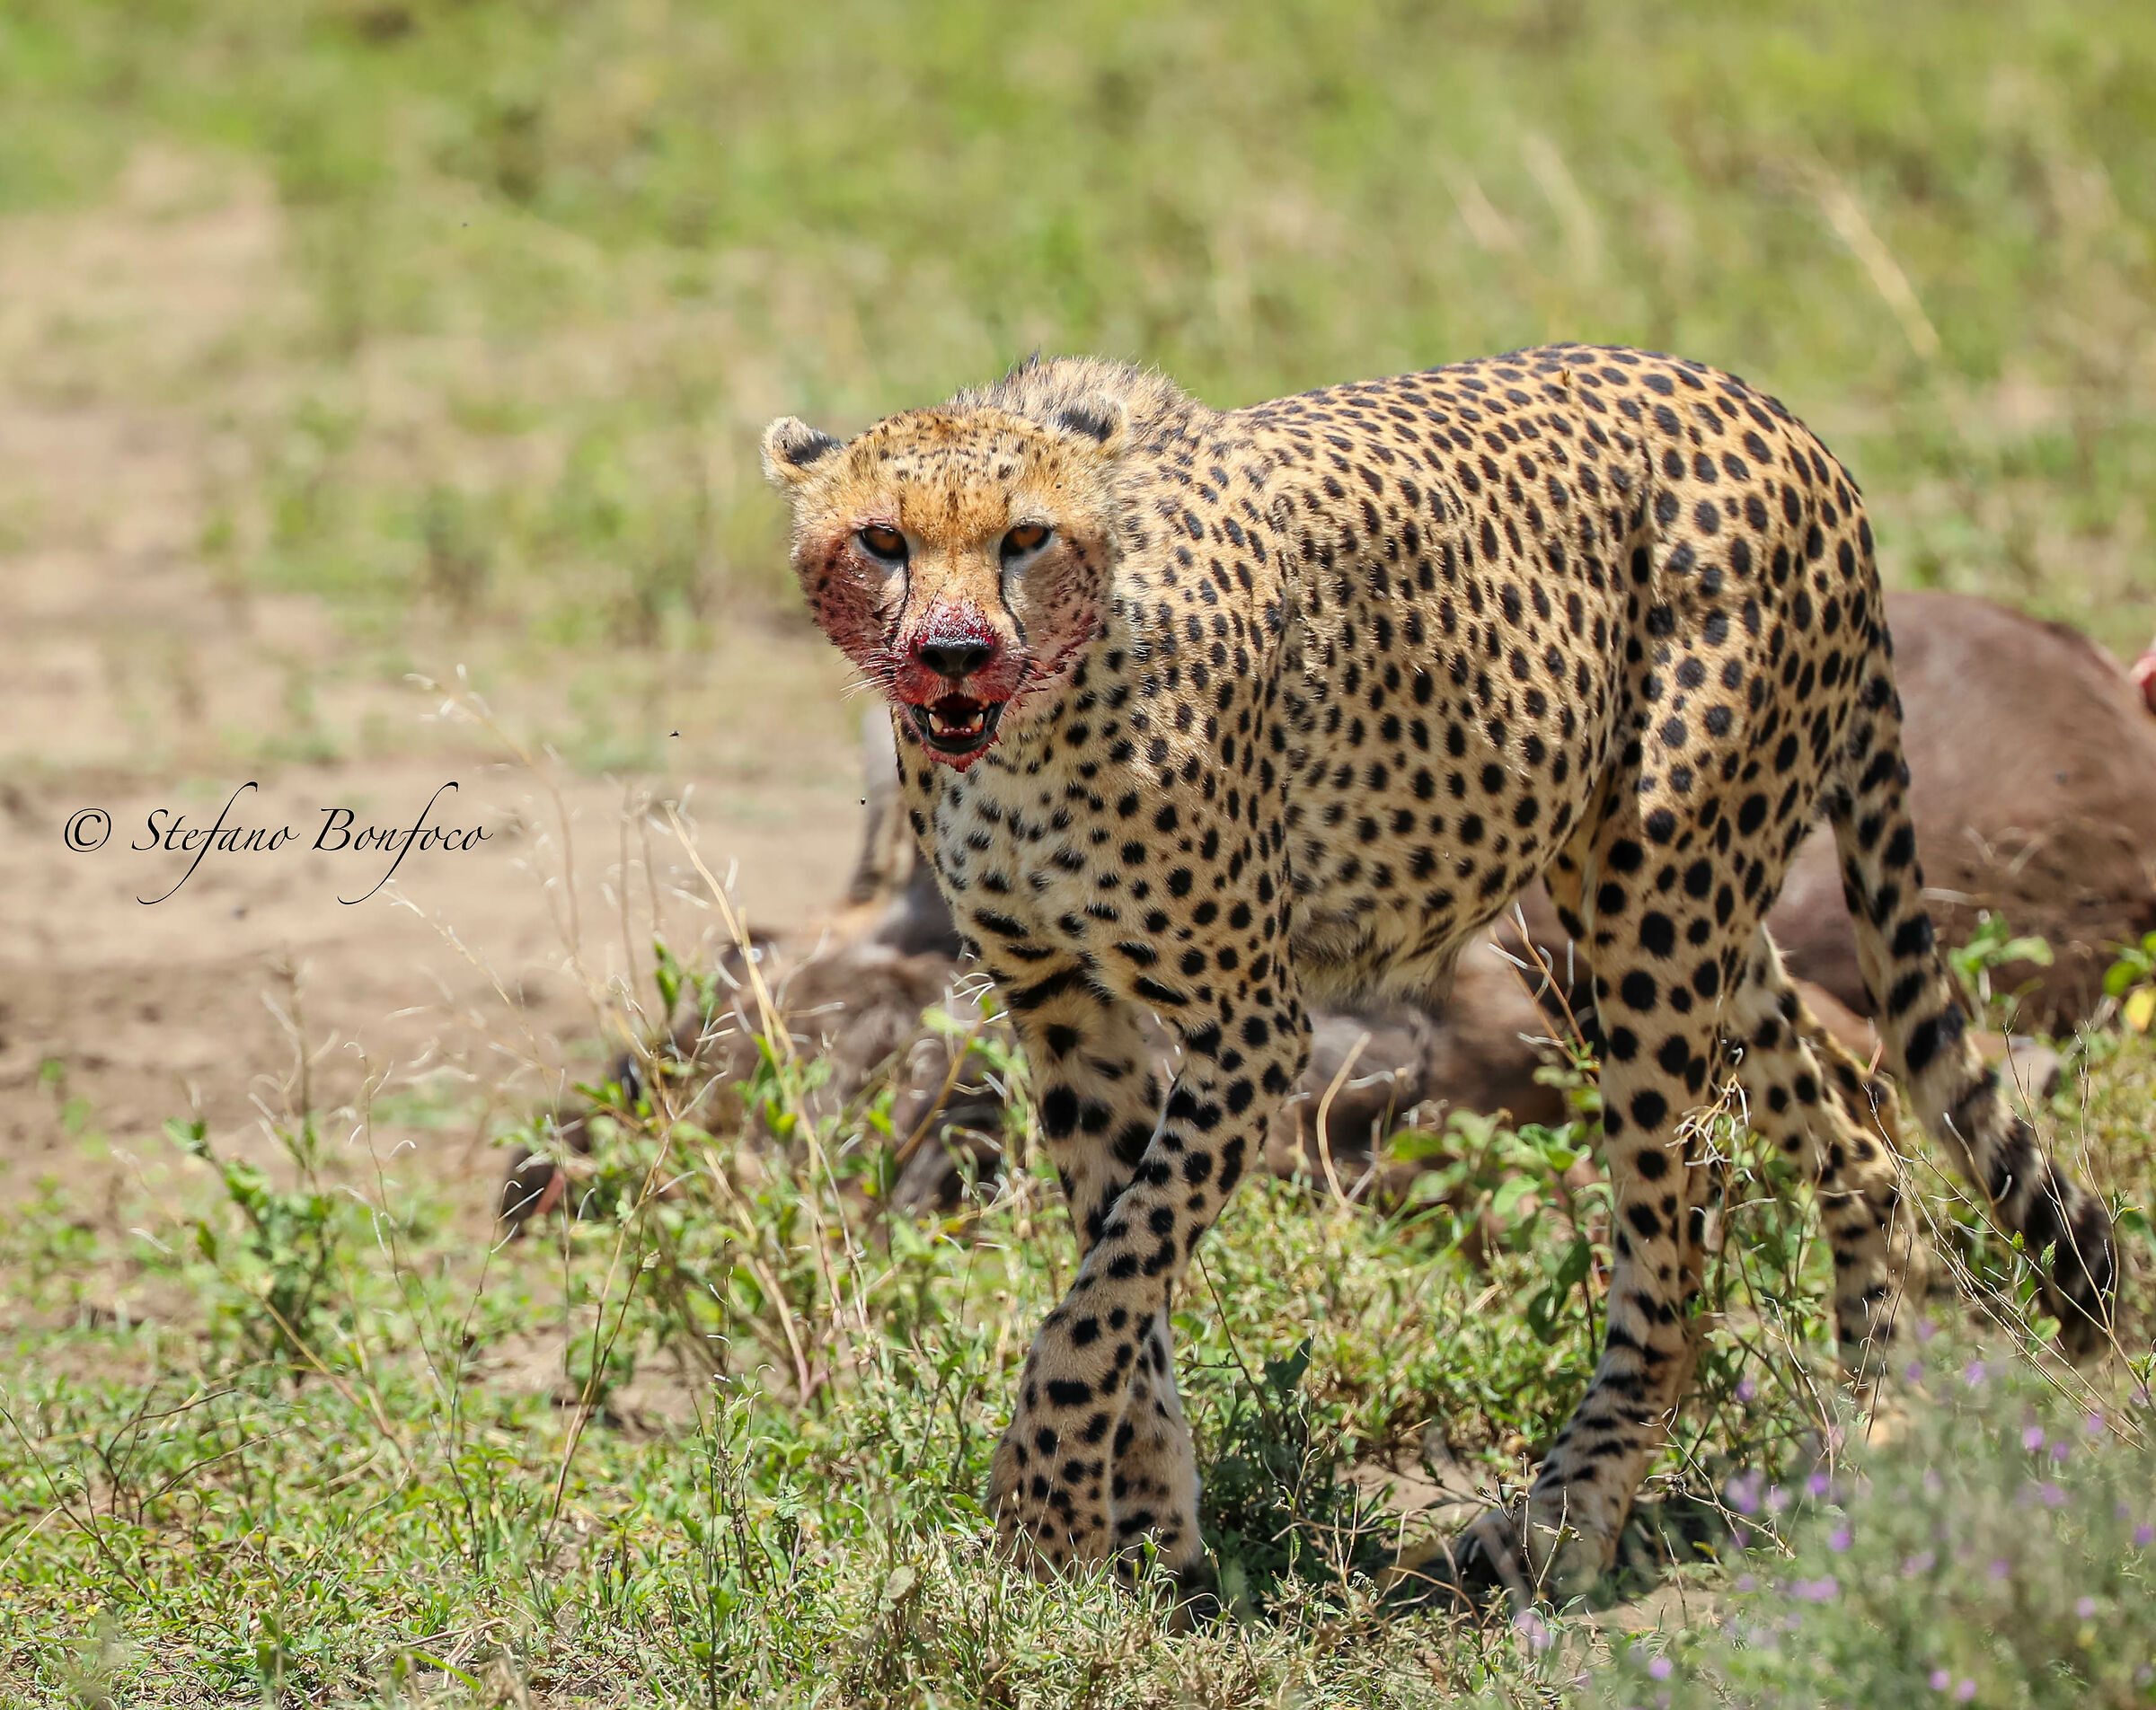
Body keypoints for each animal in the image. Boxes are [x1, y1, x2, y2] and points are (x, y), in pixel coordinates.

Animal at [761, 343, 2116, 1605]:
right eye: (881, 540)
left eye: (1025, 538)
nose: (954, 651)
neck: (1037, 726)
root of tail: (1763, 408)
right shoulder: (1065, 1009)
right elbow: (1119, 1271)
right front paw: (1143, 1529)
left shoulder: (1251, 1026)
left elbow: (1114, 1279)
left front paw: (1044, 1502)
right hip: (1663, 914)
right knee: (1861, 1139)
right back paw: (1882, 1431)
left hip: (1652, 915)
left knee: (1677, 1249)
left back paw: (1562, 1524)